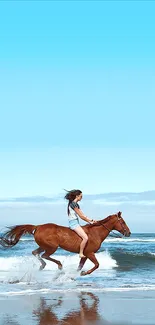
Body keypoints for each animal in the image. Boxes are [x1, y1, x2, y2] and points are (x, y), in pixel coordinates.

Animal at [0, 210, 131, 276]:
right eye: (123, 222)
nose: (129, 233)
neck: (96, 233)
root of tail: (38, 227)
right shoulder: (90, 253)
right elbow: (97, 265)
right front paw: (85, 273)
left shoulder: (85, 255)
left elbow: (80, 267)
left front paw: (77, 273)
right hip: (52, 247)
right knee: (45, 256)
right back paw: (58, 265)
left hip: (43, 246)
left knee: (35, 253)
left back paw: (43, 266)